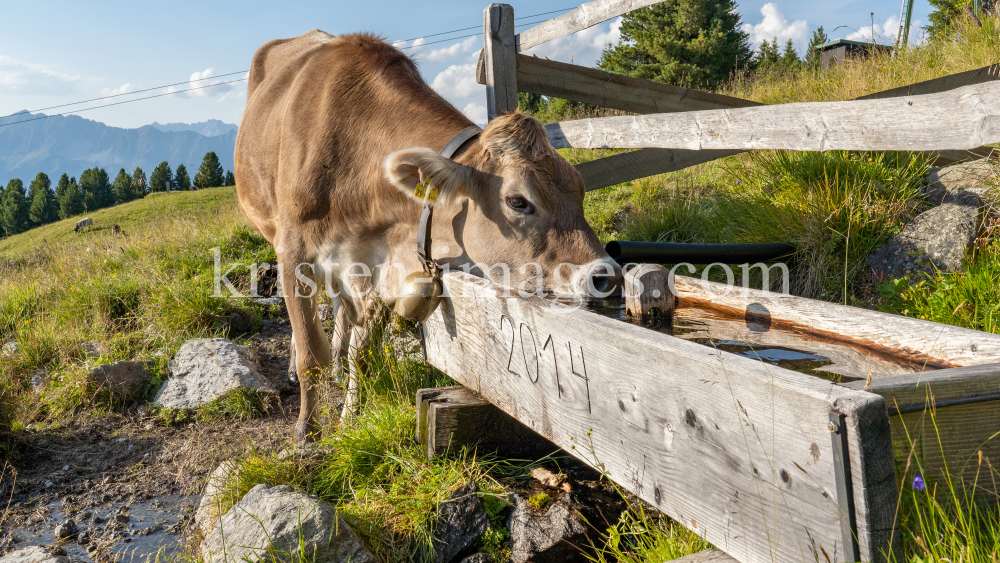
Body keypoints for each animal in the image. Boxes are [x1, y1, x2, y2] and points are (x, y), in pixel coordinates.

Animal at [237, 29, 620, 446]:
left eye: (581, 189)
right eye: (518, 201)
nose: (605, 275)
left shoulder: (384, 268)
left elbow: (361, 353)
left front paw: (350, 417)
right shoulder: (295, 252)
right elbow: (311, 353)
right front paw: (306, 432)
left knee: (341, 312)